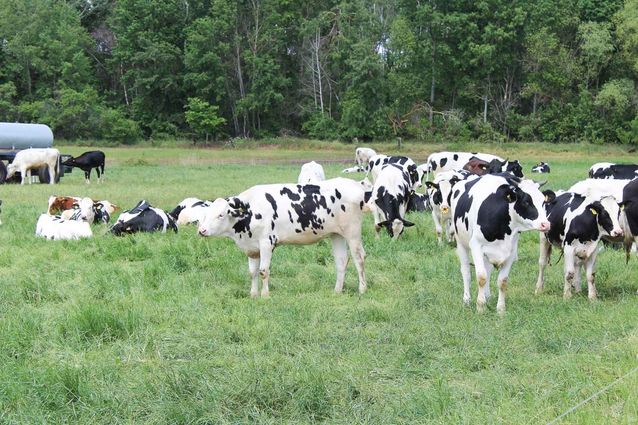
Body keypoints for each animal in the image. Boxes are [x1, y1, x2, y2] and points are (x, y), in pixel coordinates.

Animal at [199, 177, 370, 296]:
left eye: (220, 215)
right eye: (206, 214)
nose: (202, 230)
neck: (250, 210)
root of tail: (356, 185)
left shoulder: (267, 243)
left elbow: (263, 271)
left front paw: (265, 295)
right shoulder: (251, 248)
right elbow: (252, 272)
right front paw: (253, 294)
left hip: (352, 232)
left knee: (359, 258)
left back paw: (362, 289)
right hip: (336, 234)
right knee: (341, 261)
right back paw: (337, 290)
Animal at [450, 174, 556, 314]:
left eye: (543, 202)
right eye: (526, 202)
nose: (546, 224)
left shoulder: (511, 251)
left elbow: (502, 281)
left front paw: (500, 309)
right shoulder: (476, 245)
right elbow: (481, 277)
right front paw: (480, 307)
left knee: (488, 270)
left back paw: (487, 296)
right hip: (461, 243)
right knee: (466, 271)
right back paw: (467, 300)